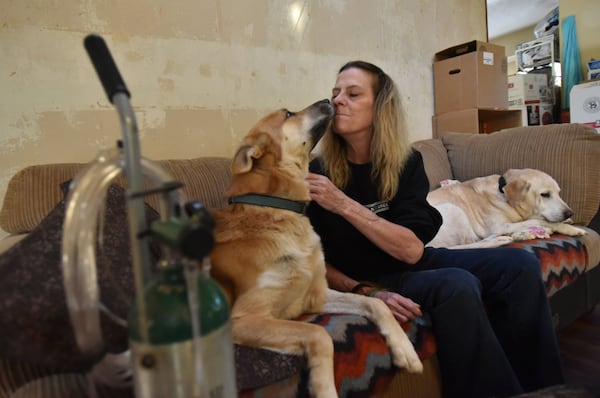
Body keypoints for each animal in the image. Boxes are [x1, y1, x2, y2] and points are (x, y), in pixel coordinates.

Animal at [210, 98, 422, 394]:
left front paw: (404, 349)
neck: (279, 210)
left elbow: (376, 303)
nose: (330, 99)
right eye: (288, 114)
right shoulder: (245, 319)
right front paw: (323, 388)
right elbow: (319, 333)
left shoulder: (316, 296)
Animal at [426, 168, 584, 249]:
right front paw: (570, 228)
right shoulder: (500, 225)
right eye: (544, 194)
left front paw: (567, 221)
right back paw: (499, 240)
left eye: (559, 192)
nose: (569, 213)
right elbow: (539, 221)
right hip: (453, 210)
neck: (502, 191)